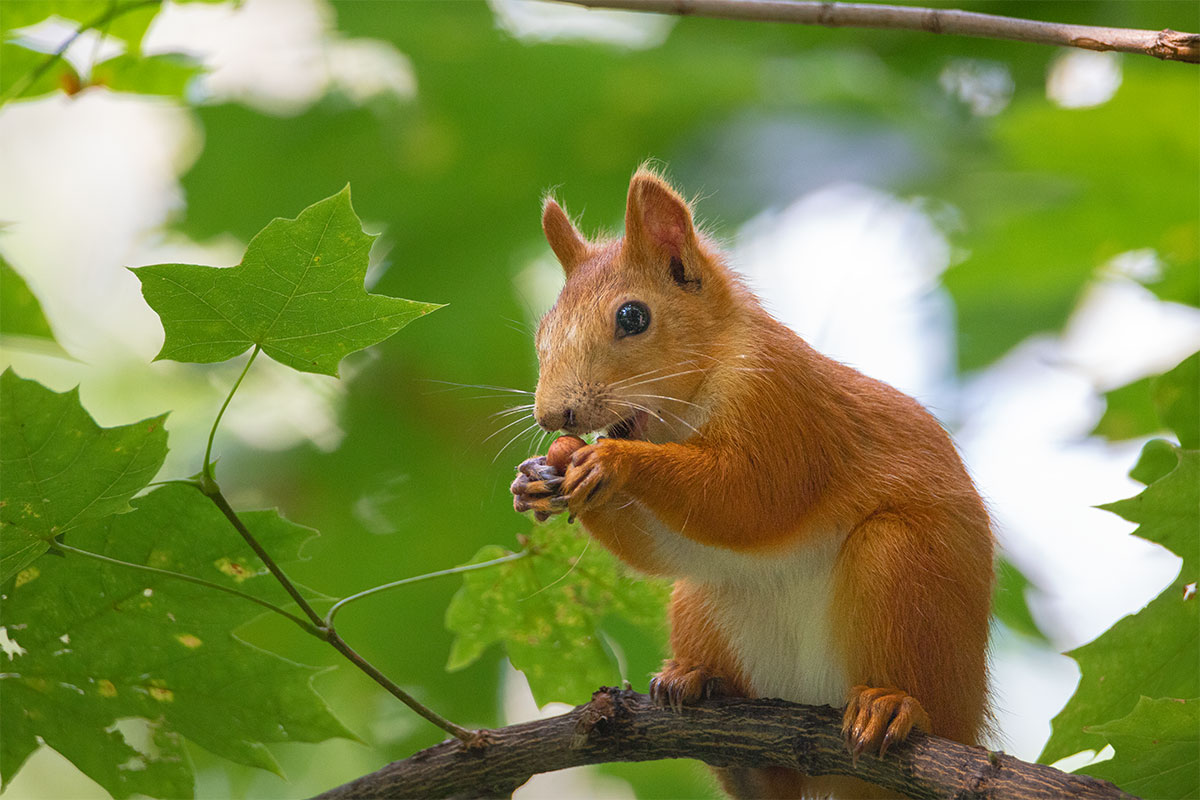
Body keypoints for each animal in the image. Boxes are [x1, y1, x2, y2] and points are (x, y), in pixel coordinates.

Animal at [511, 169, 988, 800]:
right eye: (542, 330)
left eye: (633, 317)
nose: (552, 417)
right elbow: (668, 548)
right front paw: (541, 477)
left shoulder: (783, 403)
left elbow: (751, 499)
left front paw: (614, 461)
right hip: (700, 603)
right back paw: (698, 688)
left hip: (905, 574)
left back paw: (893, 705)